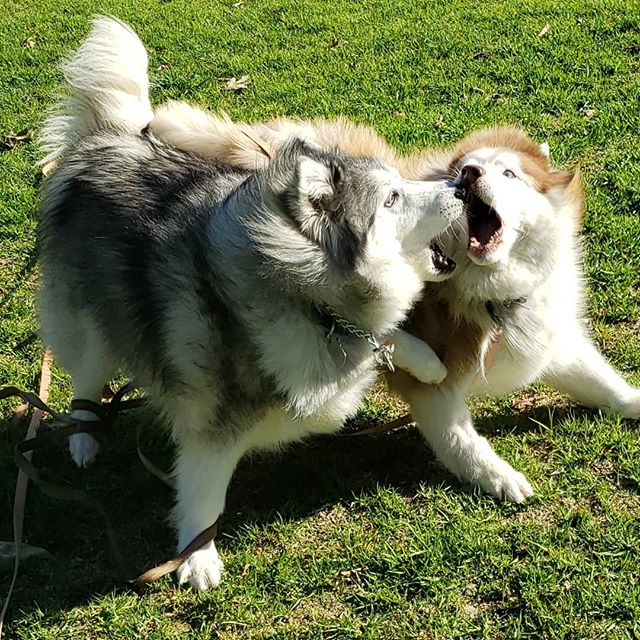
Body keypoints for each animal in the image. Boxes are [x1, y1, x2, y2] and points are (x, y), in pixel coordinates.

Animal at [36, 18, 464, 592]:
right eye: (392, 199)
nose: (461, 185)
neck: (306, 301)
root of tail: (106, 142)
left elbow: (386, 334)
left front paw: (426, 359)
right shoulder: (213, 425)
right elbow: (204, 494)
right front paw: (197, 556)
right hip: (88, 326)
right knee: (84, 378)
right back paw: (83, 439)